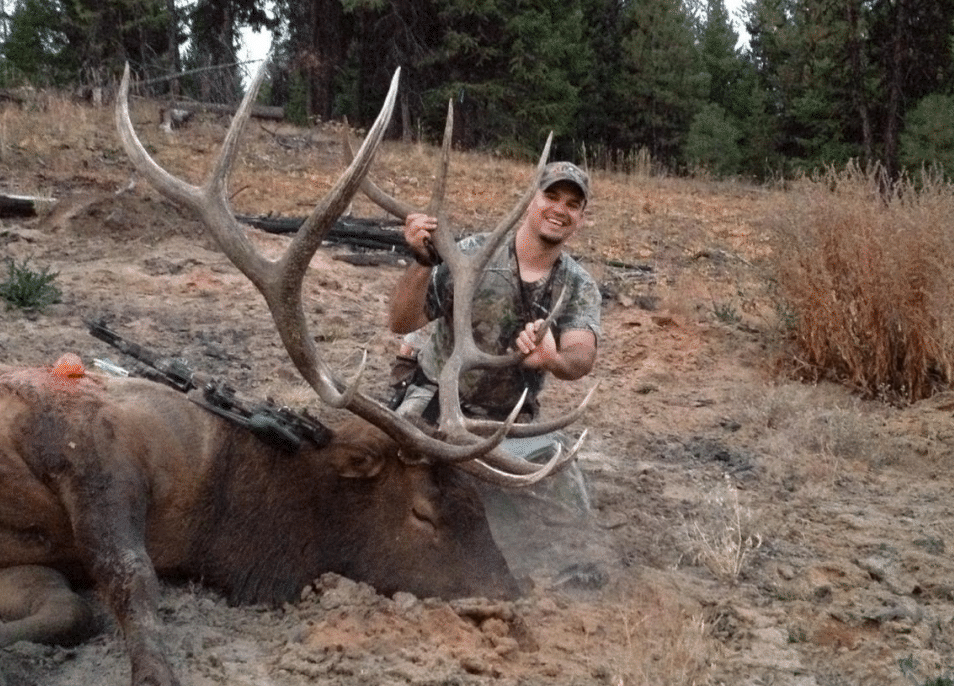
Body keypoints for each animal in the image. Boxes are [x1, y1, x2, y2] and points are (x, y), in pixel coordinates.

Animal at [0, 61, 591, 686]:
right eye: (423, 514)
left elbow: (70, 607)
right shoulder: (83, 445)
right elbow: (130, 576)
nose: (514, 598)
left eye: (479, 506)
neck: (206, 517)